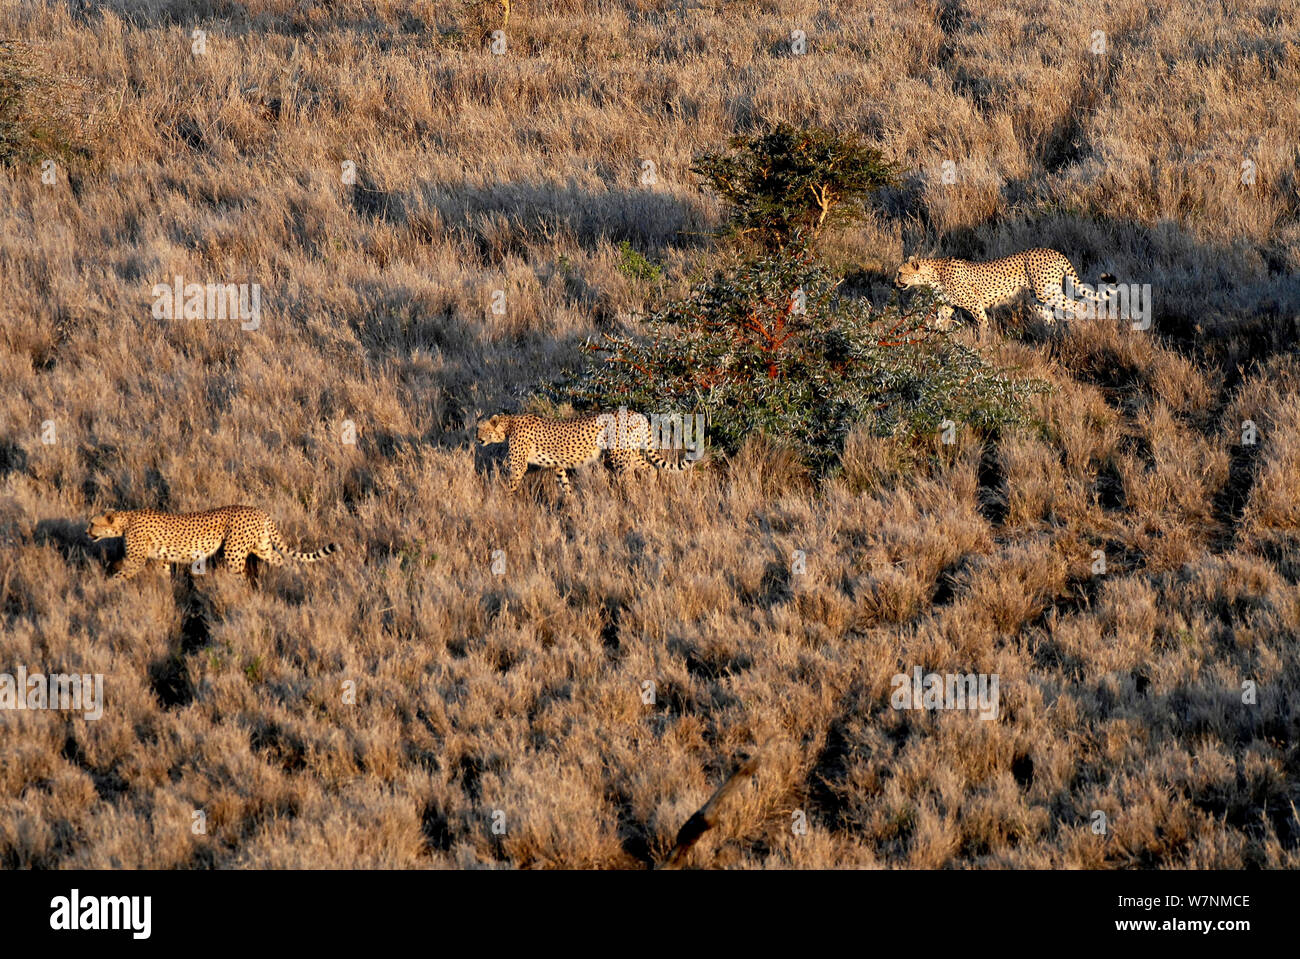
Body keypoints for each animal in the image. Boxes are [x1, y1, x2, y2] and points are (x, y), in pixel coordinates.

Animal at [85, 504, 338, 579]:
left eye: (92, 523)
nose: (86, 532)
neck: (125, 520)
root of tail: (258, 510)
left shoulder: (135, 560)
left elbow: (120, 574)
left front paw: (106, 588)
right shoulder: (162, 560)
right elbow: (164, 576)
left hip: (234, 552)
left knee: (240, 576)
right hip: (262, 547)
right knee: (281, 559)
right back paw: (293, 576)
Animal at [480, 408, 702, 493]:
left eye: (483, 430)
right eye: (477, 429)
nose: (478, 438)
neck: (508, 425)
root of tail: (635, 413)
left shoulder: (518, 466)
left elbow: (511, 482)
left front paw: (504, 502)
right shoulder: (558, 465)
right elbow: (564, 484)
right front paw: (570, 506)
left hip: (619, 456)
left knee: (629, 477)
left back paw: (630, 498)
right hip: (630, 453)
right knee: (650, 469)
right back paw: (649, 492)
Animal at [894, 246, 1118, 332]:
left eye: (900, 273)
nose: (895, 282)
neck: (933, 274)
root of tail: (1053, 251)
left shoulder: (974, 303)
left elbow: (982, 323)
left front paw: (983, 341)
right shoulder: (947, 305)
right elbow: (940, 321)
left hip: (1049, 292)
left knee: (1078, 306)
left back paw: (1083, 327)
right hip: (1039, 299)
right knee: (1050, 318)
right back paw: (1052, 337)